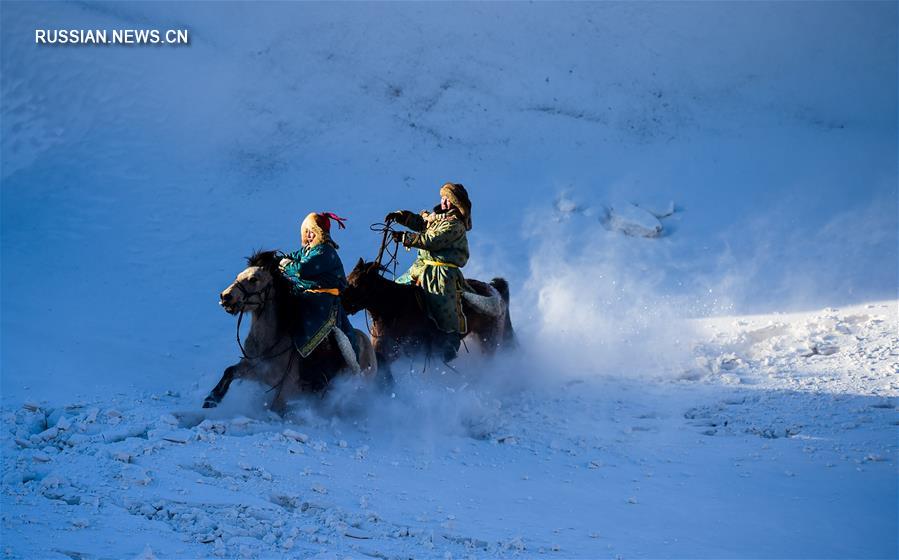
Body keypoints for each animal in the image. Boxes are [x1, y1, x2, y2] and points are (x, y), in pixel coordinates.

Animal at [204, 249, 376, 412]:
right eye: (238, 275)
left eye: (254, 279)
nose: (225, 297)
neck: (269, 344)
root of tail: (367, 342)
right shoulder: (254, 370)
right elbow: (229, 371)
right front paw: (211, 399)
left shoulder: (286, 390)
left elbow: (275, 409)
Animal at [342, 258, 516, 372]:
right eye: (347, 278)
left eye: (357, 284)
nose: (341, 303)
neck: (393, 308)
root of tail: (495, 291)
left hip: (488, 341)